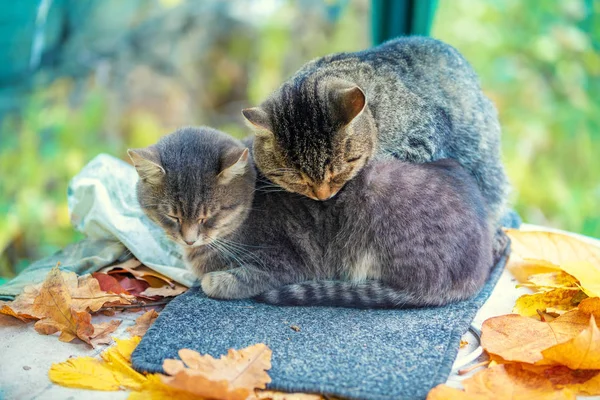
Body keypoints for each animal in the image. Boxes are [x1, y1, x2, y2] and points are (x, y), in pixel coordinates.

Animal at [127, 126, 492, 308]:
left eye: (210, 216)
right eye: (170, 215)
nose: (189, 239)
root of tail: (477, 268)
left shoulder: (288, 261)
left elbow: (240, 277)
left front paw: (214, 280)